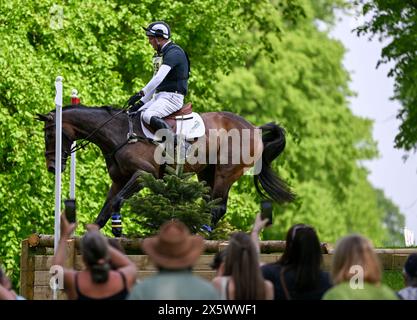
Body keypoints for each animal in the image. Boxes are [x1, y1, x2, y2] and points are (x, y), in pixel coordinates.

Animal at [37, 105, 294, 235]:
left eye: (50, 135)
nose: (52, 167)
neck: (119, 133)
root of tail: (254, 128)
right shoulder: (119, 181)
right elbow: (105, 211)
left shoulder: (143, 175)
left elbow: (118, 202)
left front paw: (118, 230)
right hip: (205, 173)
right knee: (210, 204)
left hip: (224, 172)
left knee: (218, 207)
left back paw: (201, 235)